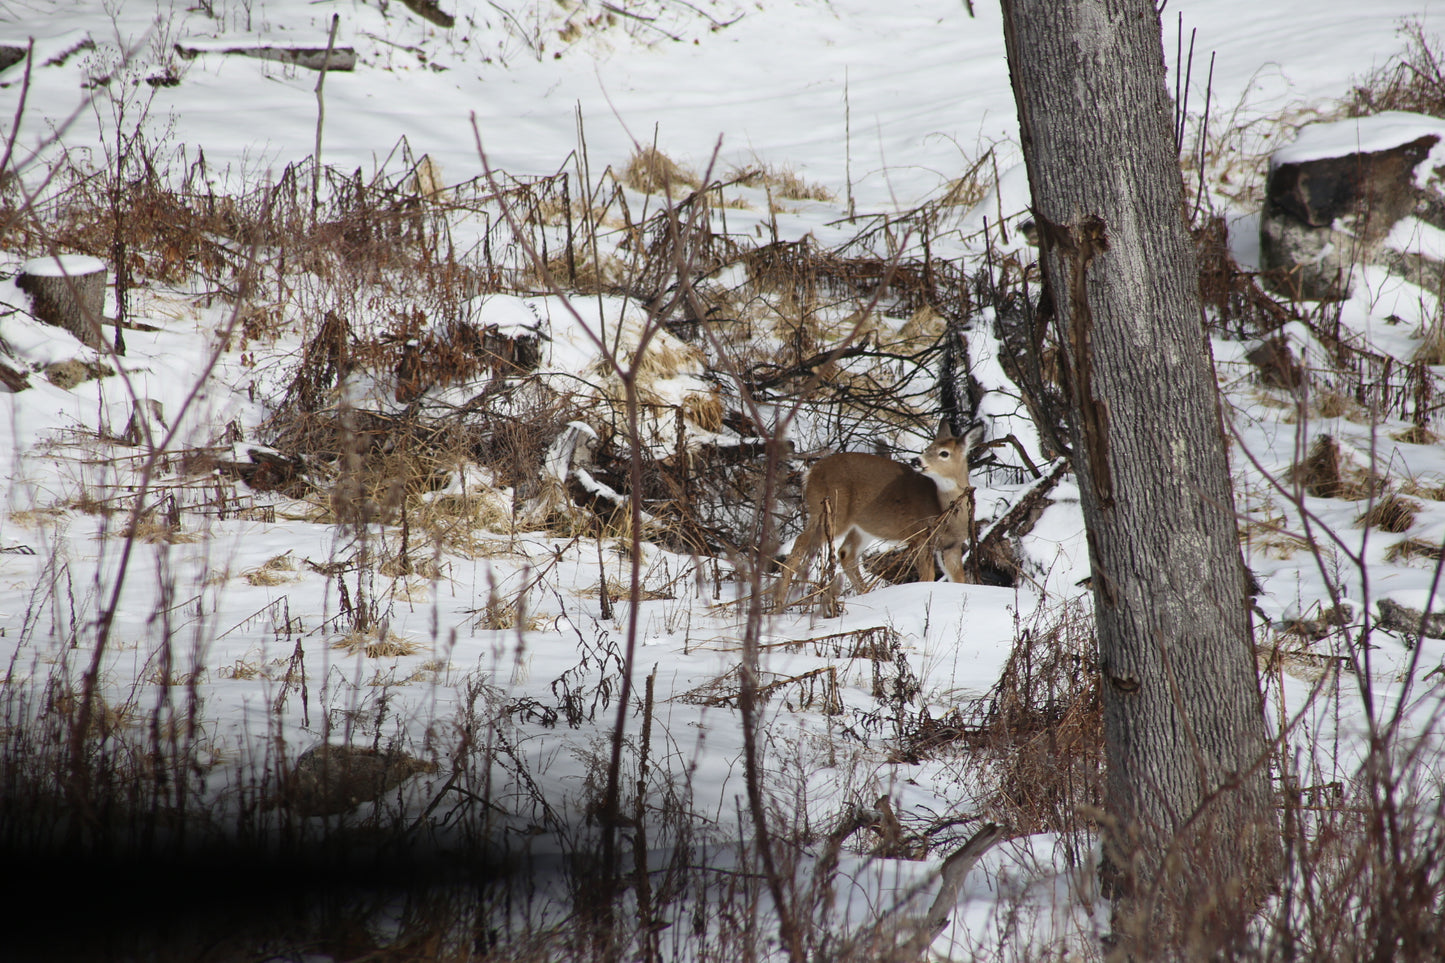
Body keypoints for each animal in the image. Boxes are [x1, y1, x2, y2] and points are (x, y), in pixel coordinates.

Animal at [773, 420, 984, 608]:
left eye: (944, 453)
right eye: (927, 448)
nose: (916, 460)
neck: (944, 511)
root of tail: (810, 472)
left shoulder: (951, 546)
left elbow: (958, 579)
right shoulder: (921, 535)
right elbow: (928, 576)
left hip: (862, 525)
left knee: (845, 553)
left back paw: (865, 595)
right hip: (831, 511)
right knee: (802, 541)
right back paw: (779, 603)